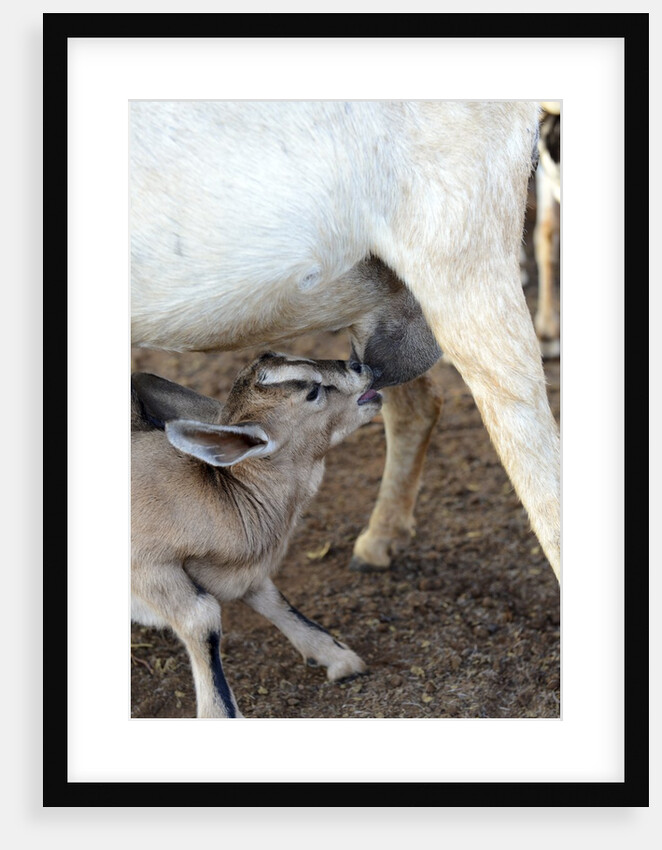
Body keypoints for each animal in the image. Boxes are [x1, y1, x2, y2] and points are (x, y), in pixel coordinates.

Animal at [131, 352, 382, 718]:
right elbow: (201, 619)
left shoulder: (240, 571)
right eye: (312, 392)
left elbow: (271, 598)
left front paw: (337, 657)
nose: (361, 367)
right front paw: (220, 713)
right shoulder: (148, 568)